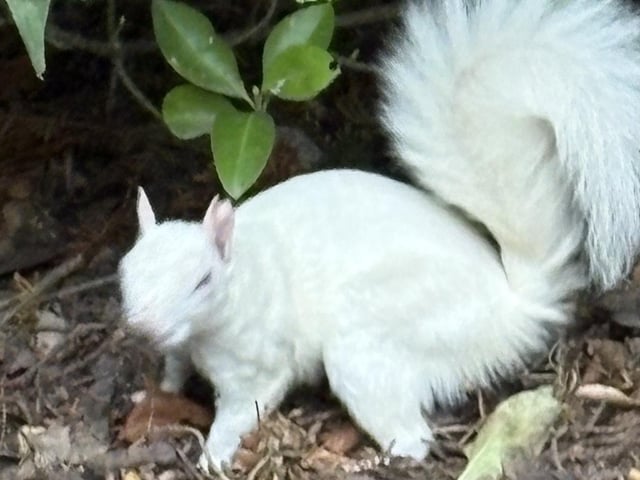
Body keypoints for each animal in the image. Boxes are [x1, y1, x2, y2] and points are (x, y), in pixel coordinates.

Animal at [119, 0, 640, 472]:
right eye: (124, 273)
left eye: (203, 281)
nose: (143, 327)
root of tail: (510, 307)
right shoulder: (182, 347)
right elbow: (174, 369)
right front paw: (156, 391)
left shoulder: (258, 361)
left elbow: (246, 404)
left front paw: (215, 451)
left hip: (373, 340)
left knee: (412, 435)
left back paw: (375, 458)